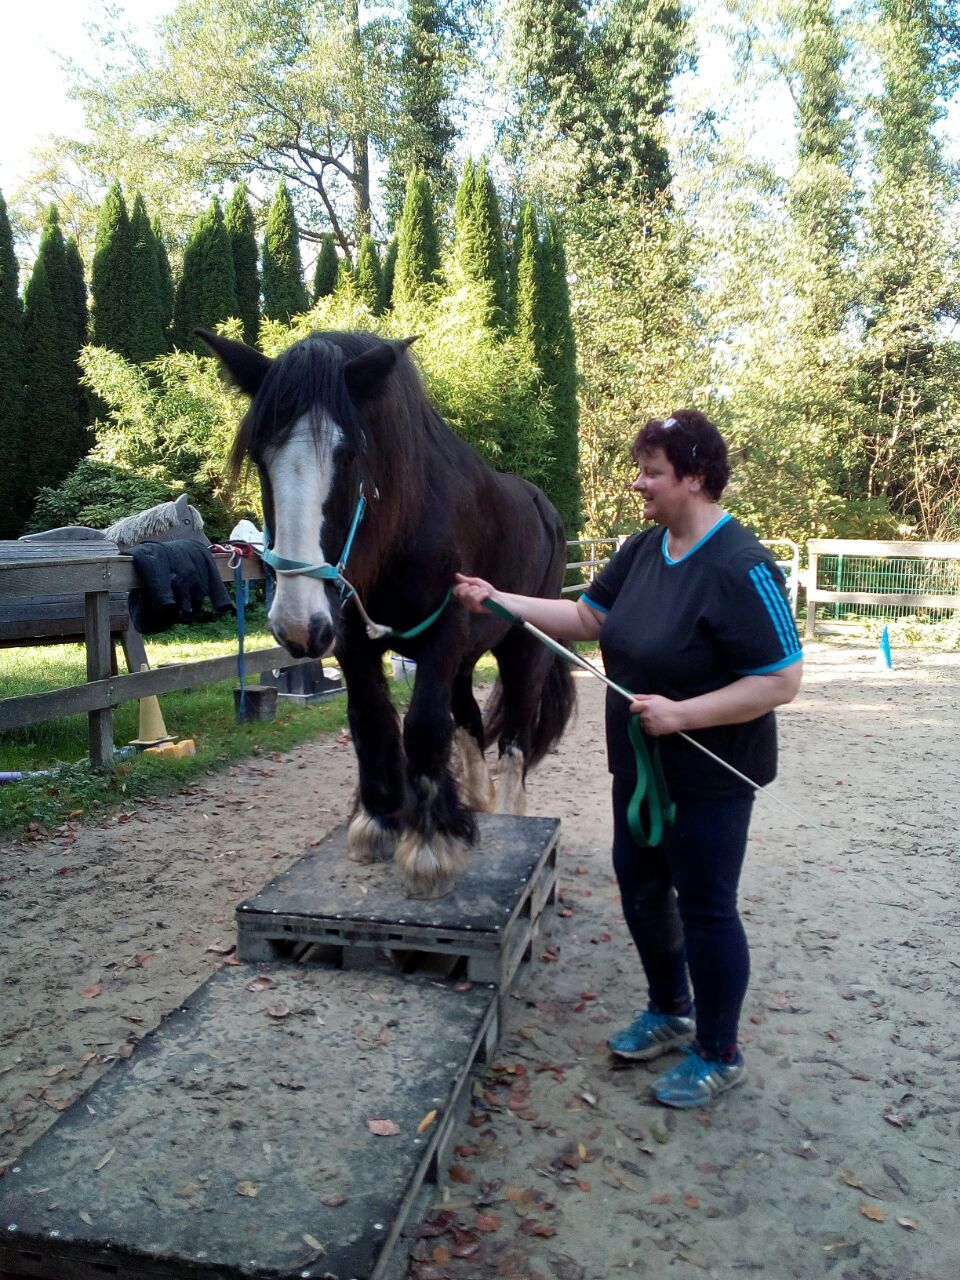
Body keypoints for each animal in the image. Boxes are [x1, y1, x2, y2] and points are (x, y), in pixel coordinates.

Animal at [200, 328, 576, 899]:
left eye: (349, 454)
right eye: (262, 457)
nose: (297, 624)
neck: (405, 523)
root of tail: (545, 508)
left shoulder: (443, 632)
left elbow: (422, 725)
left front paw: (429, 847)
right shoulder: (354, 638)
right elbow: (370, 719)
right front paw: (381, 818)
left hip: (523, 647)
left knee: (514, 734)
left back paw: (510, 812)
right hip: (464, 657)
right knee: (468, 720)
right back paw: (476, 802)